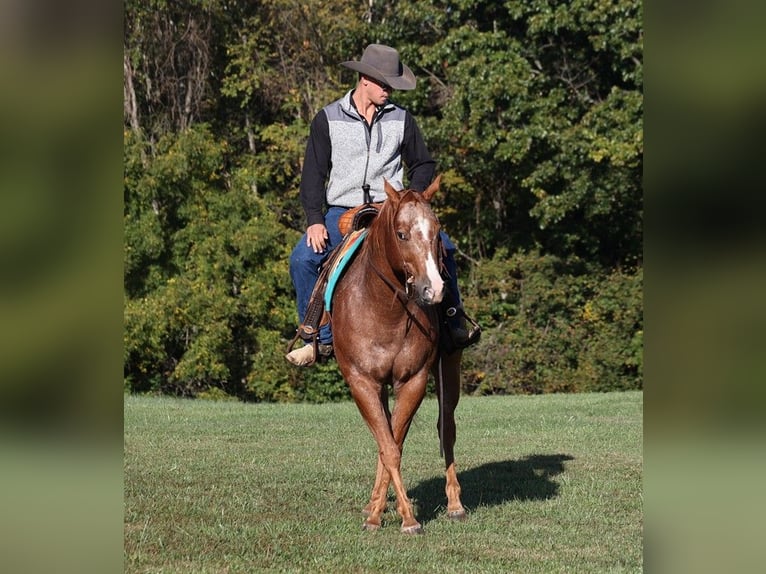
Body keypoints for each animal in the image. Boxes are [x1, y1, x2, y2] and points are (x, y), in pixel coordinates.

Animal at [332, 177, 468, 536]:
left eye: (437, 231)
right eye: (402, 234)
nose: (433, 290)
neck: (385, 311)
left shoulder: (413, 380)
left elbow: (395, 445)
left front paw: (404, 517)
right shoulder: (363, 383)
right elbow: (388, 447)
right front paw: (383, 514)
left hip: (449, 370)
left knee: (447, 429)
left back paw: (455, 504)